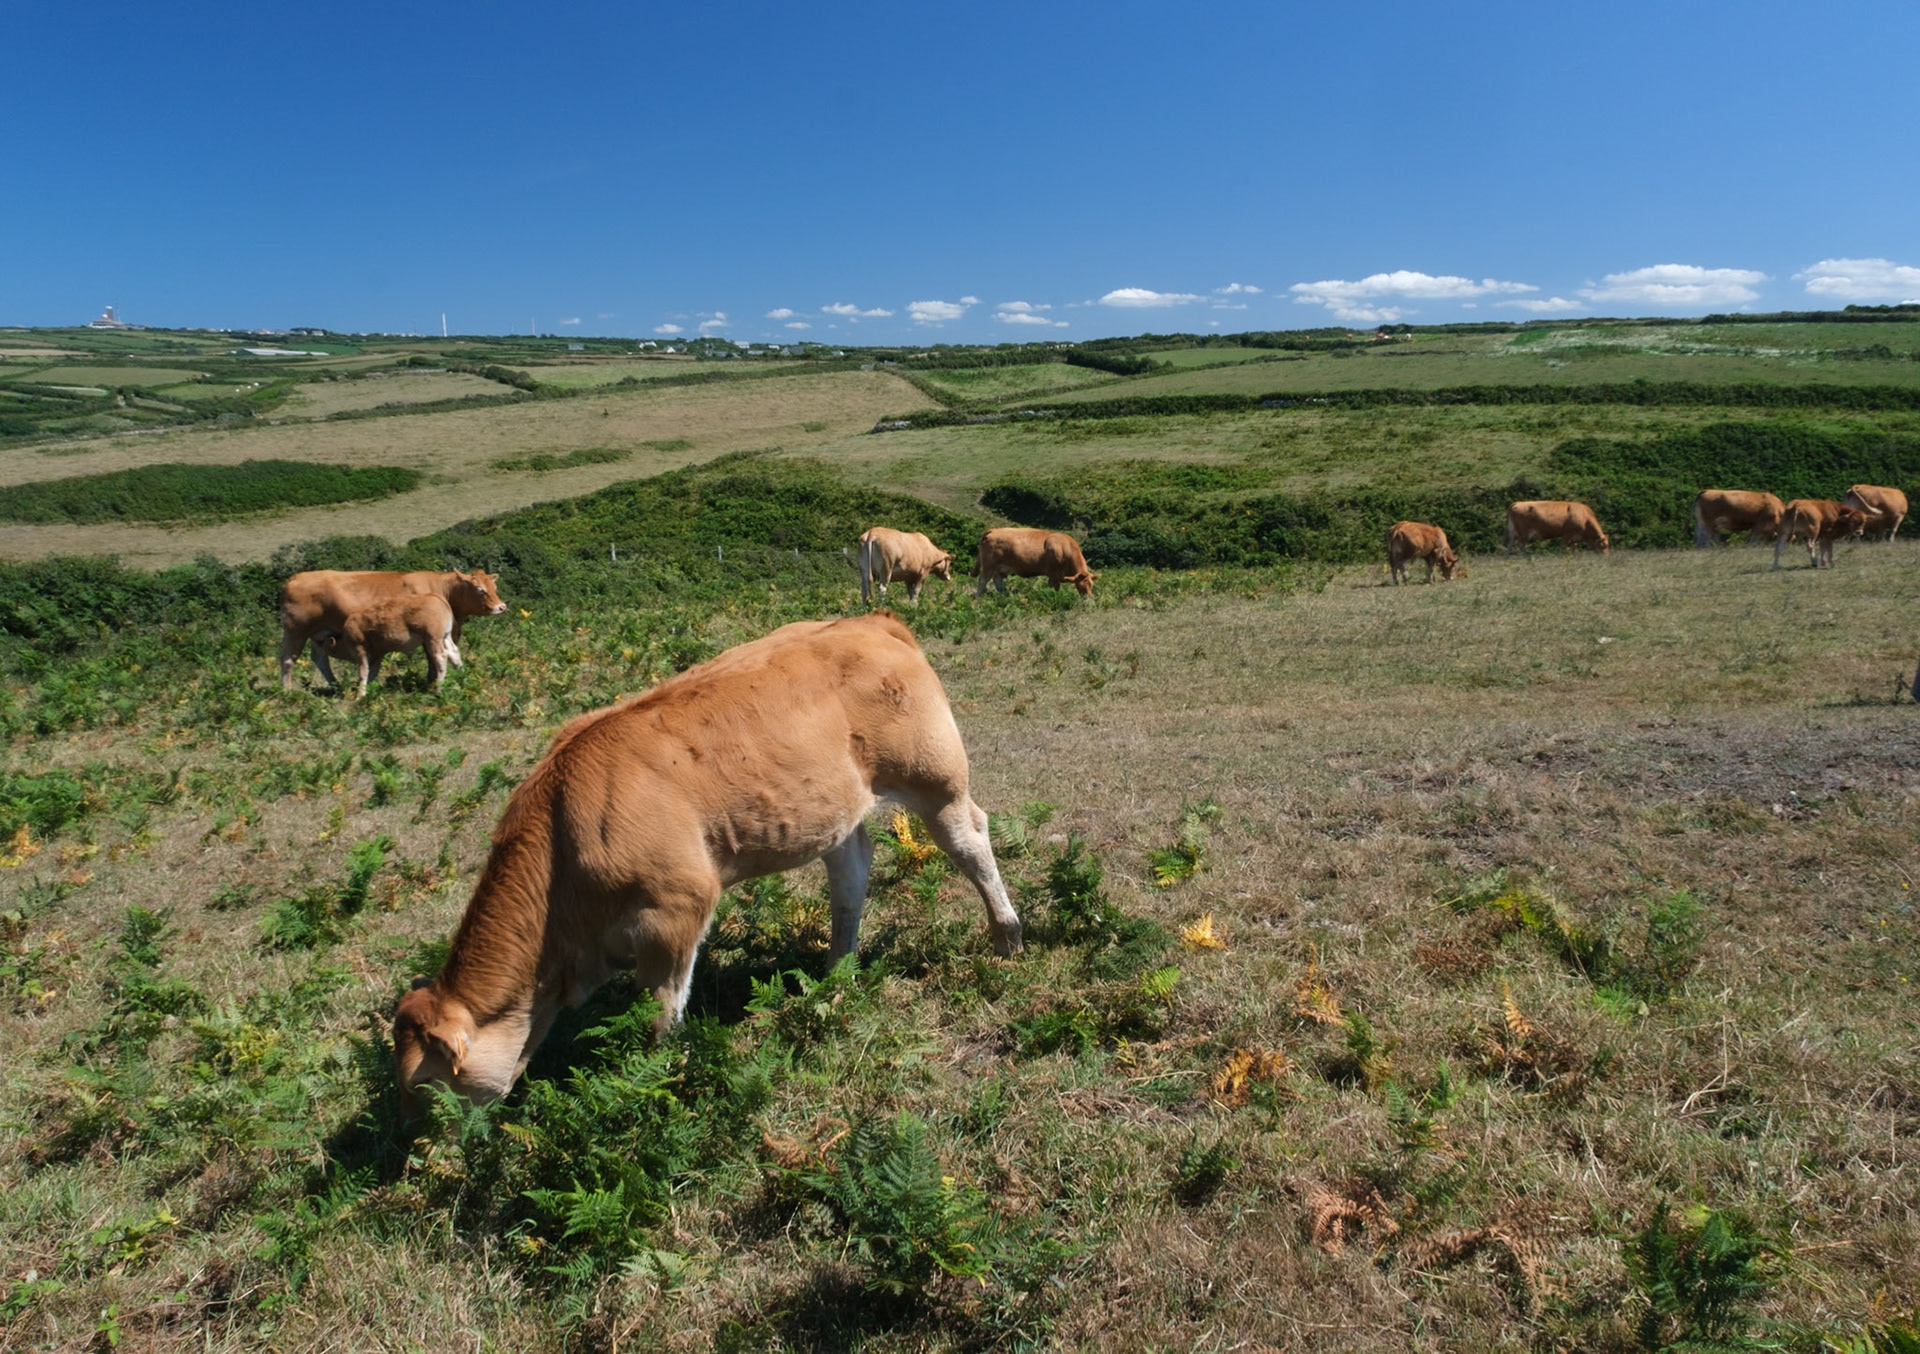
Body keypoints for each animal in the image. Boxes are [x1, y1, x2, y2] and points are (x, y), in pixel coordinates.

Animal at [313, 595, 461, 696]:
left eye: (323, 643)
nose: (316, 646)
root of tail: (435, 597)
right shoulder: (377, 655)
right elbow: (371, 672)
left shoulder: (360, 650)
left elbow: (363, 672)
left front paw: (359, 695)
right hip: (445, 637)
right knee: (454, 653)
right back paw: (461, 676)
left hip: (432, 639)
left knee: (441, 658)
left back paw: (438, 689)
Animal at [392, 612, 1024, 1113]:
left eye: (424, 1084)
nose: (419, 1149)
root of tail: (871, 621)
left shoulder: (674, 909)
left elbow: (661, 1016)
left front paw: (657, 1085)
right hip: (835, 805)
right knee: (852, 869)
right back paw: (835, 973)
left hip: (934, 776)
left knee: (970, 838)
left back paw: (1007, 935)